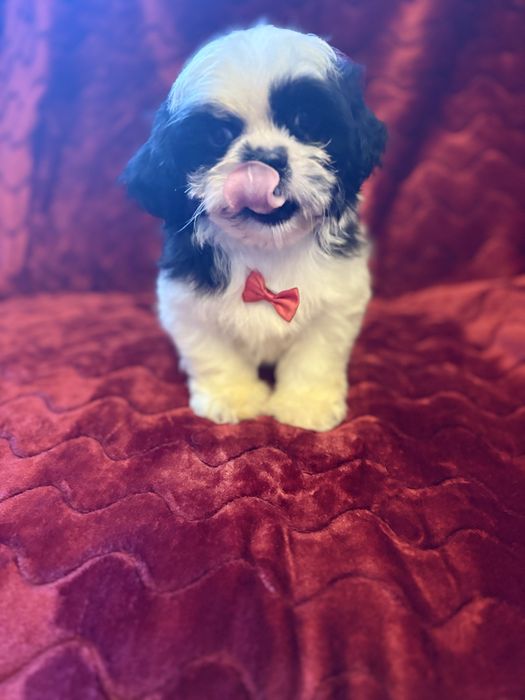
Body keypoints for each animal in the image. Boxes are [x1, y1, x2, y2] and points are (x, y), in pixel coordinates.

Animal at [123, 24, 386, 431]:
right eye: (218, 137)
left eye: (305, 120)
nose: (266, 159)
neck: (268, 248)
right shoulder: (186, 302)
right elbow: (214, 353)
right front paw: (233, 397)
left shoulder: (339, 296)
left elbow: (316, 355)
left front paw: (306, 404)